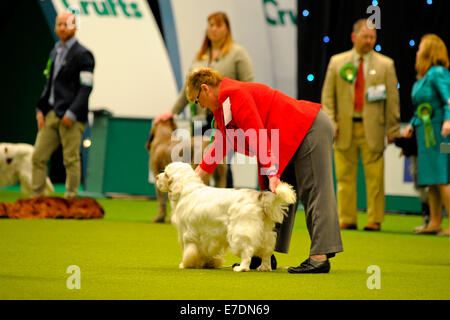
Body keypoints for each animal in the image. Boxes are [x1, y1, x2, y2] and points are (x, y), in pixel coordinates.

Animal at [156, 161, 298, 272]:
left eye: (166, 173)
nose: (156, 177)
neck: (186, 190)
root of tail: (258, 196)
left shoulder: (188, 234)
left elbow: (188, 251)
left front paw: (185, 264)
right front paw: (208, 263)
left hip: (240, 232)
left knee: (247, 250)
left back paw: (241, 268)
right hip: (265, 233)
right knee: (267, 251)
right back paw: (264, 267)